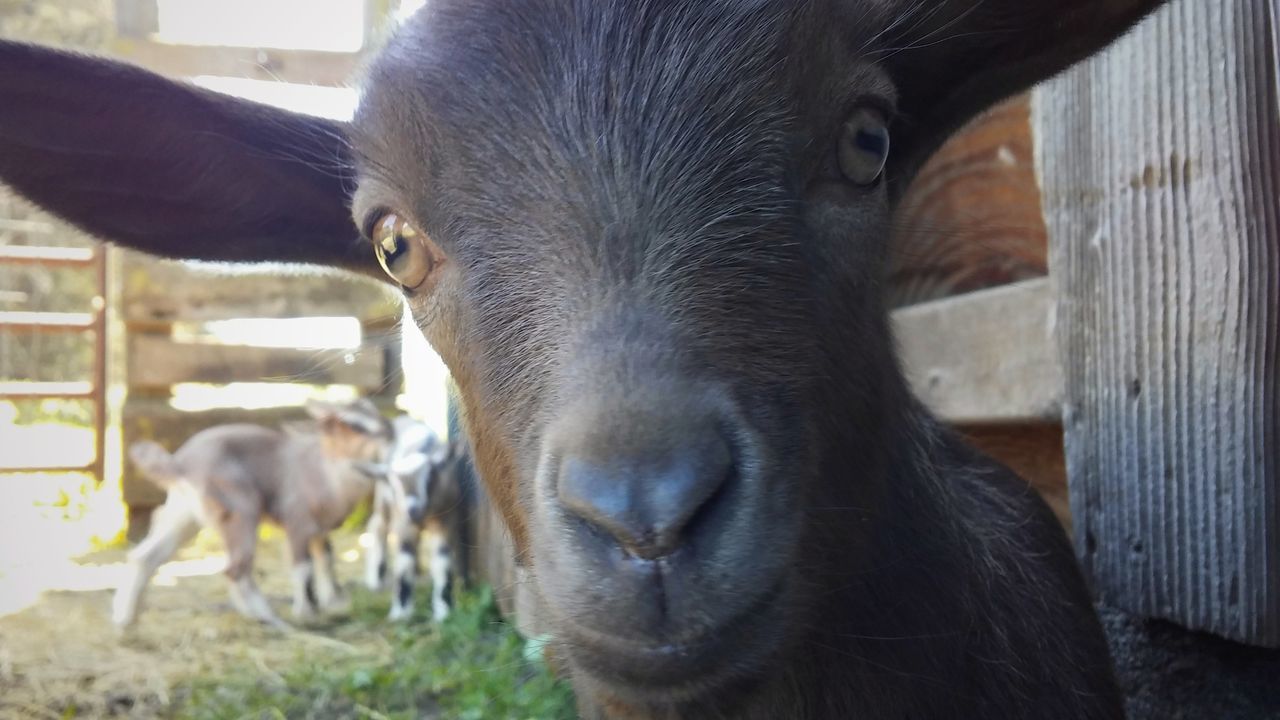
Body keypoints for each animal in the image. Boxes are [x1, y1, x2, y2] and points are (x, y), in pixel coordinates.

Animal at [112, 397, 391, 627]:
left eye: (374, 412)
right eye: (354, 425)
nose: (388, 431)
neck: (329, 473)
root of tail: (180, 464)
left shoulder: (319, 531)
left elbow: (327, 561)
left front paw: (334, 605)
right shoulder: (297, 522)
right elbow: (302, 567)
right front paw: (305, 612)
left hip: (183, 514)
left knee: (145, 556)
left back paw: (126, 620)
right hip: (241, 513)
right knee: (234, 569)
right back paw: (265, 616)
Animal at [360, 415, 465, 622]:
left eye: (430, 476)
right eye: (394, 485)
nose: (413, 509)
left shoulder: (447, 519)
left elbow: (442, 561)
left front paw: (444, 609)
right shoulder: (403, 523)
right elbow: (404, 560)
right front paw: (401, 611)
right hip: (383, 499)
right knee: (377, 525)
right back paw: (376, 577)